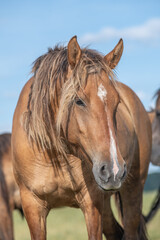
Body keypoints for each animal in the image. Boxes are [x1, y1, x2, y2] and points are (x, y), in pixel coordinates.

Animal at [11, 36, 152, 240]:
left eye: (117, 102)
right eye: (79, 101)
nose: (114, 170)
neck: (54, 155)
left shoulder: (92, 203)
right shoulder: (32, 206)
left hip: (132, 190)